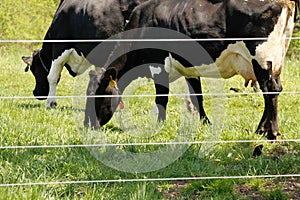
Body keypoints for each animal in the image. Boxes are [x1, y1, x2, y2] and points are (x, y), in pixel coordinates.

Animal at [95, 0, 296, 141]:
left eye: (97, 95)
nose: (90, 125)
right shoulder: (190, 68)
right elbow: (197, 95)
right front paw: (205, 122)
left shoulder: (158, 64)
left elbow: (161, 97)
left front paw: (158, 125)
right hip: (275, 61)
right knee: (273, 90)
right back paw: (261, 129)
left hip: (262, 57)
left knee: (270, 89)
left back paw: (271, 132)